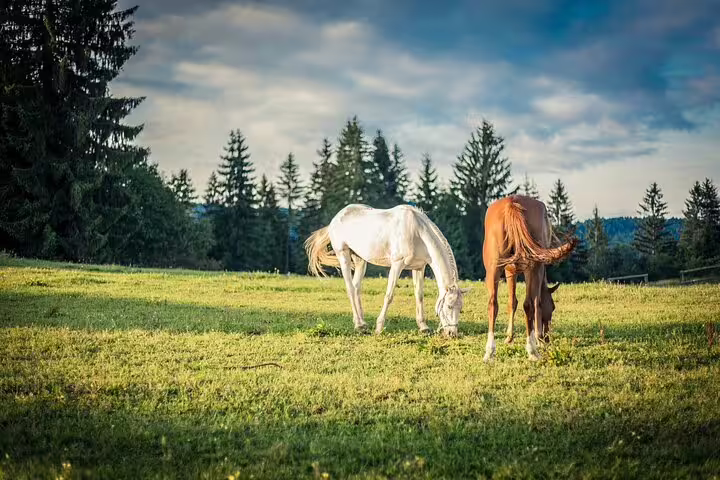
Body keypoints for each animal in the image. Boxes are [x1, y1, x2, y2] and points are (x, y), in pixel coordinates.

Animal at [305, 204, 471, 337]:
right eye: (449, 306)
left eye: (461, 308)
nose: (452, 333)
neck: (417, 232)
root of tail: (337, 217)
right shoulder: (397, 265)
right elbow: (389, 296)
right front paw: (379, 328)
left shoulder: (419, 268)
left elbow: (419, 296)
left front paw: (423, 327)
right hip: (343, 255)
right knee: (350, 288)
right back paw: (359, 325)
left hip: (360, 260)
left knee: (357, 287)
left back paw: (362, 323)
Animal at [482, 195, 577, 361]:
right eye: (553, 307)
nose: (547, 338)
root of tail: (512, 203)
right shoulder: (538, 270)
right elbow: (537, 302)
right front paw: (537, 337)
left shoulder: (509, 269)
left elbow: (512, 302)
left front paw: (509, 337)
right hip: (532, 268)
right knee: (528, 305)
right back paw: (532, 350)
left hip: (494, 269)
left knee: (493, 305)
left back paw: (489, 352)